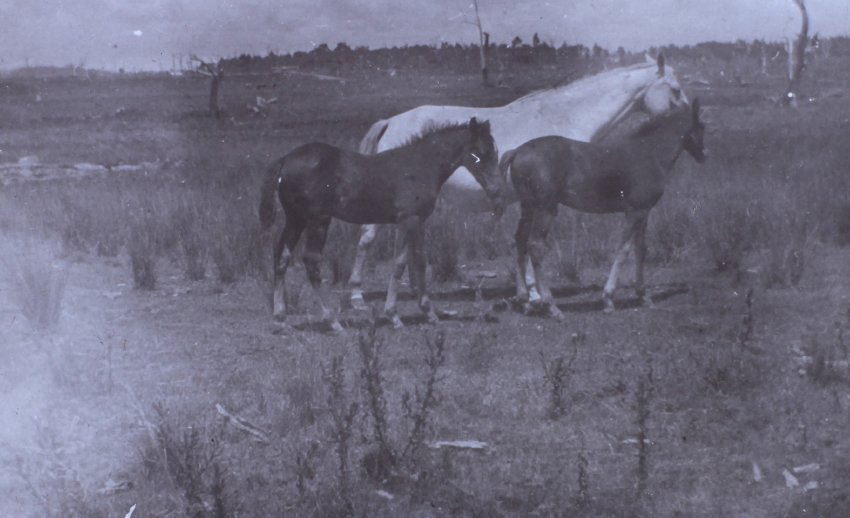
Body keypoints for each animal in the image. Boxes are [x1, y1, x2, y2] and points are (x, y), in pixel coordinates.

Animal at [258, 118, 504, 332]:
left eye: (494, 151)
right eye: (481, 153)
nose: (495, 190)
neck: (421, 165)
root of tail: (285, 159)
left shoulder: (414, 222)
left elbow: (410, 261)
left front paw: (420, 313)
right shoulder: (409, 219)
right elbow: (408, 262)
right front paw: (404, 315)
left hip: (296, 218)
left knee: (281, 255)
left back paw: (280, 318)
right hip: (318, 219)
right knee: (311, 260)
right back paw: (332, 321)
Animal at [346, 54, 690, 308]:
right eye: (675, 90)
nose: (689, 118)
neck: (563, 116)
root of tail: (391, 122)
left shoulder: (528, 202)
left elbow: (522, 242)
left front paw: (528, 293)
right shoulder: (540, 201)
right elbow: (532, 243)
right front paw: (536, 294)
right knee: (366, 238)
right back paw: (357, 295)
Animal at [502, 99, 705, 319]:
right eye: (702, 127)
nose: (704, 154)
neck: (649, 153)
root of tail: (517, 151)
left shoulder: (644, 211)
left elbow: (641, 249)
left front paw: (643, 295)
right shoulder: (635, 212)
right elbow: (623, 250)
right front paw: (608, 298)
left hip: (528, 207)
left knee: (520, 241)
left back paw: (525, 301)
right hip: (545, 208)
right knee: (536, 246)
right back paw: (551, 305)